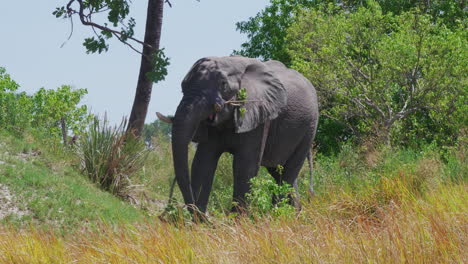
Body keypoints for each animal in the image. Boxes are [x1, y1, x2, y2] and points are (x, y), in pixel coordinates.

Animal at [159, 56, 320, 214]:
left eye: (223, 85)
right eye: (182, 87)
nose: (207, 218)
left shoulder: (260, 116)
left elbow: (245, 166)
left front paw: (238, 218)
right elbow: (202, 163)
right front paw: (200, 219)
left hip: (309, 127)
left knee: (289, 171)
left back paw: (278, 213)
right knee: (278, 171)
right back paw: (293, 213)